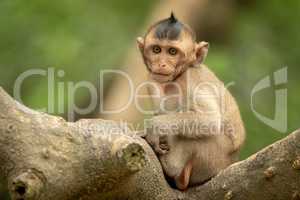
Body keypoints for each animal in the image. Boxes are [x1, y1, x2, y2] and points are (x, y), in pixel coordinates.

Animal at [137, 12, 245, 191]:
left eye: (172, 52)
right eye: (156, 49)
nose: (161, 64)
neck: (178, 76)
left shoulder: (191, 79)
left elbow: (209, 120)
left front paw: (155, 126)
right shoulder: (151, 80)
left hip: (212, 160)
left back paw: (171, 166)